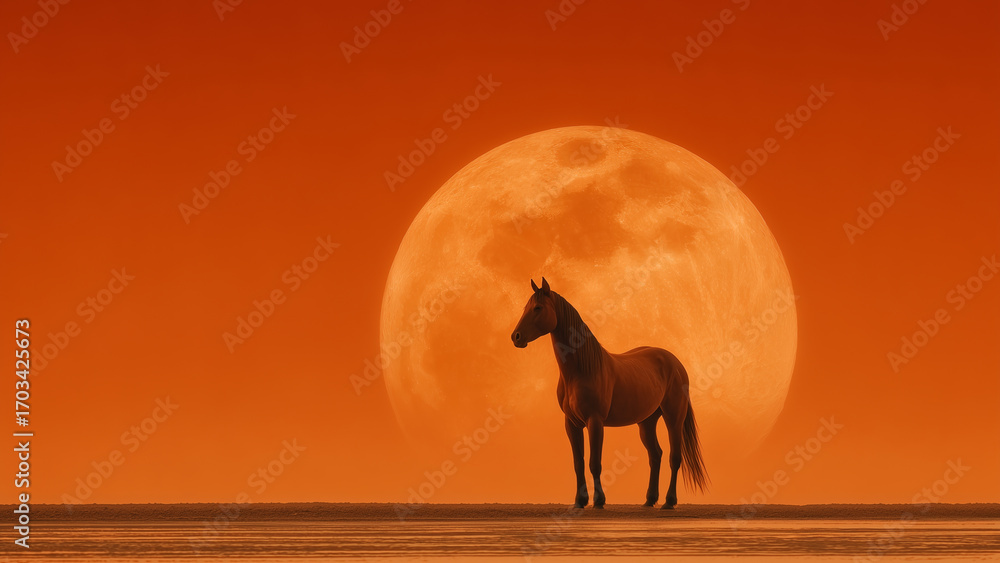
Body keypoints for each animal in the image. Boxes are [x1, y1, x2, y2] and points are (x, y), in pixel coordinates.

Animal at [511, 277, 709, 509]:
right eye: (526, 308)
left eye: (538, 308)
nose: (516, 337)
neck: (582, 371)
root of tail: (675, 363)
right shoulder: (571, 423)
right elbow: (578, 463)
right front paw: (580, 501)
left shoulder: (595, 421)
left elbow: (594, 463)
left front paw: (599, 501)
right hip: (647, 421)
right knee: (655, 455)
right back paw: (649, 500)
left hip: (673, 418)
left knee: (674, 457)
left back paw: (669, 502)